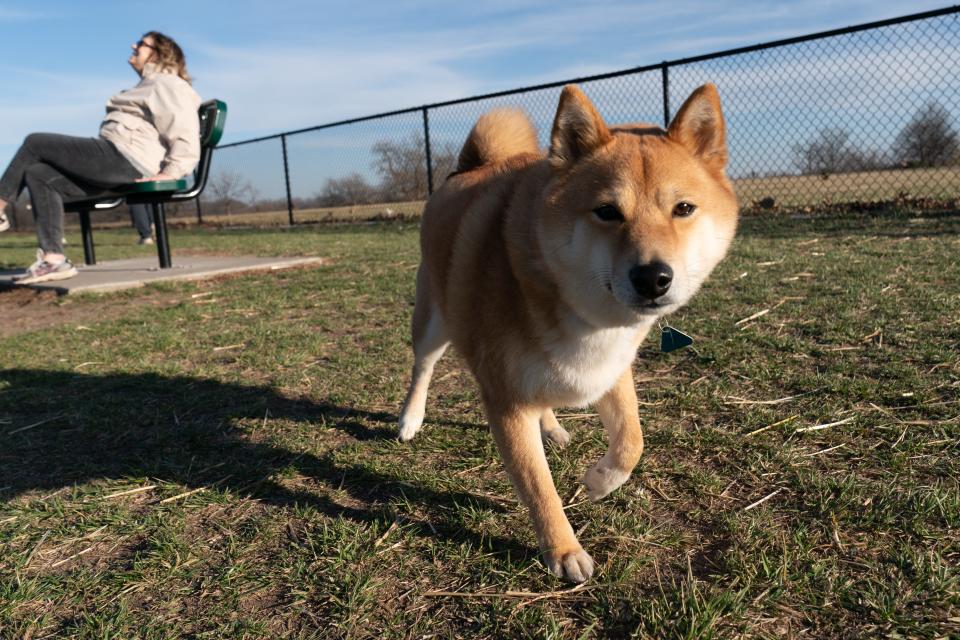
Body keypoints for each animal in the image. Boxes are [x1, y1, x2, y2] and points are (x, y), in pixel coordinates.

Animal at [398, 82, 744, 584]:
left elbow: (632, 441)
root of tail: (471, 167)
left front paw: (599, 482)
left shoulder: (610, 371)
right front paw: (563, 551)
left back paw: (552, 427)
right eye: (607, 212)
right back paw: (410, 419)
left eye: (683, 209)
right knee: (422, 369)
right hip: (432, 322)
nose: (653, 278)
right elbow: (539, 487)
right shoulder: (506, 402)